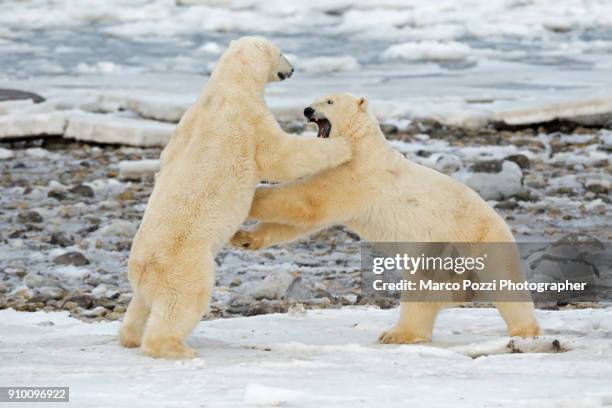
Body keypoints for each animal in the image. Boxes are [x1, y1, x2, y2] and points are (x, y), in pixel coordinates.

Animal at [119, 37, 352, 356]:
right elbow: (283, 155)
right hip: (185, 265)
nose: (292, 68)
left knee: (140, 305)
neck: (229, 85)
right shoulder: (251, 120)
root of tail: (142, 269)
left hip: (147, 278)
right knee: (183, 301)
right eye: (281, 53)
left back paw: (129, 336)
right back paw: (175, 348)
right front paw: (343, 147)